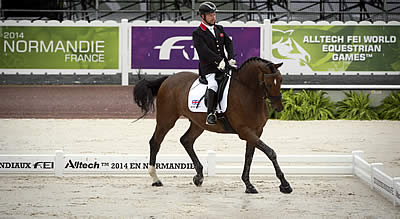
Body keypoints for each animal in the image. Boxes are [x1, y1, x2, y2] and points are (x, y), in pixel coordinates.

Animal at [133, 57, 292, 194]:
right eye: (269, 83)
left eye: (281, 80)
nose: (279, 107)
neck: (248, 93)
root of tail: (169, 78)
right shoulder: (244, 131)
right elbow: (270, 152)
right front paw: (285, 185)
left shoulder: (256, 131)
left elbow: (249, 156)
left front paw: (248, 185)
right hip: (166, 120)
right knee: (155, 142)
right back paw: (155, 179)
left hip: (198, 124)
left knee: (186, 140)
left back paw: (198, 177)